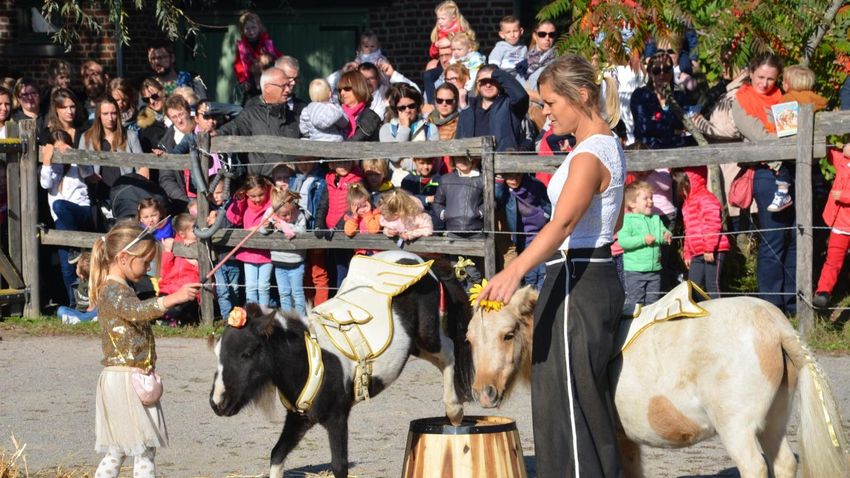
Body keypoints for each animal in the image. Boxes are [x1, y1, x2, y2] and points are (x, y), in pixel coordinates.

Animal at [209, 250, 474, 478]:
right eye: (218, 353)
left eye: (247, 353)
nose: (217, 403)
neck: (309, 361)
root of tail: (419, 259)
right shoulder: (299, 419)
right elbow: (277, 455)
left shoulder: (337, 418)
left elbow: (339, 465)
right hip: (416, 346)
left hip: (427, 336)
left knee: (450, 350)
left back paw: (454, 410)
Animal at [468, 286, 844, 476]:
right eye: (470, 339)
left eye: (508, 335)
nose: (484, 393)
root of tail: (774, 325)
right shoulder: (625, 441)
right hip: (773, 422)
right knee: (784, 463)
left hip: (737, 430)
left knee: (753, 466)